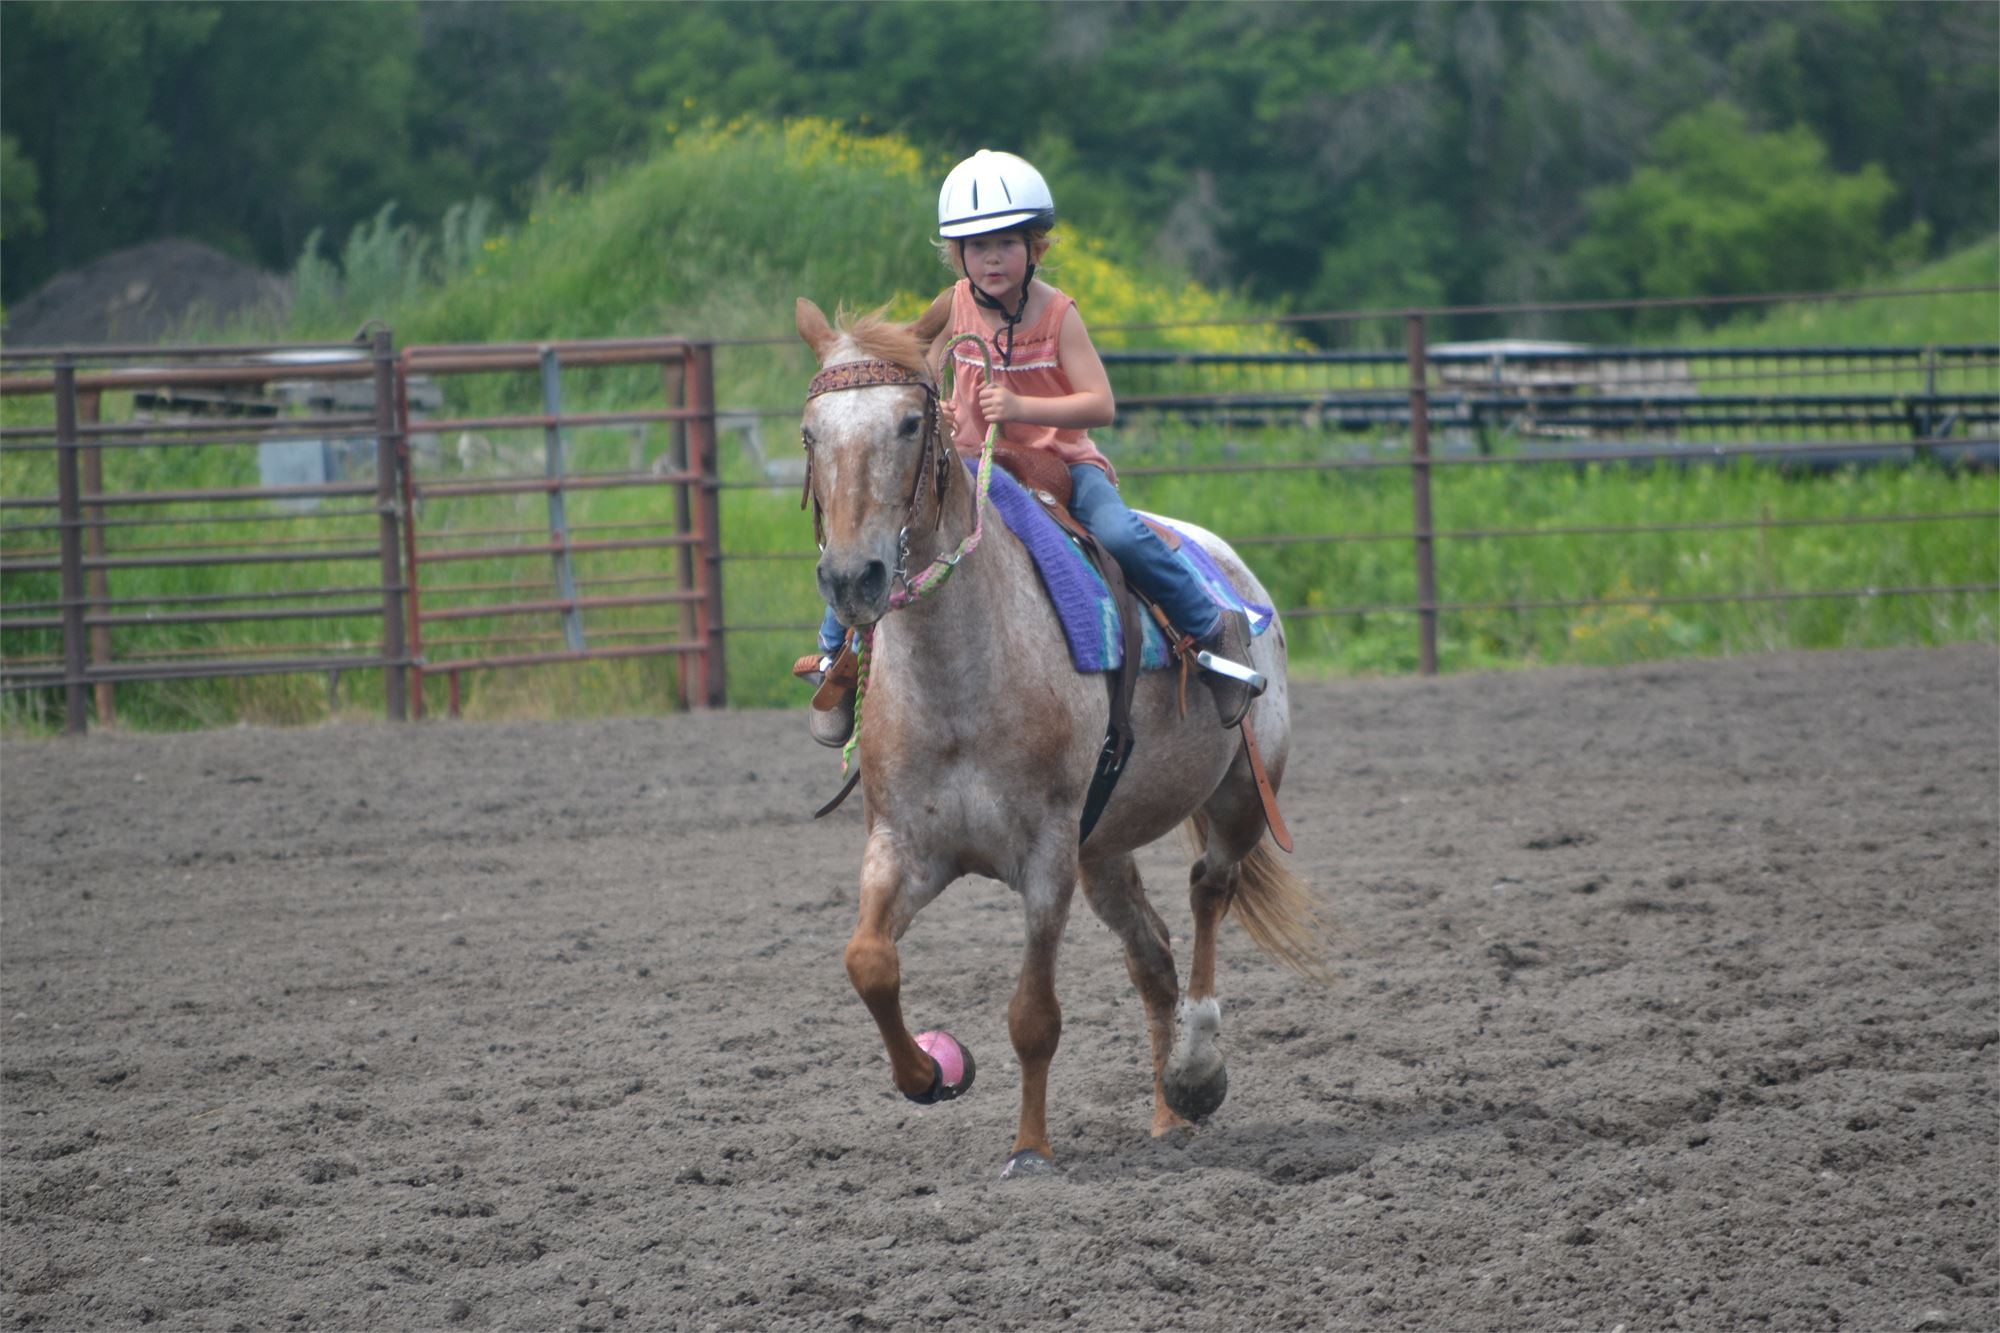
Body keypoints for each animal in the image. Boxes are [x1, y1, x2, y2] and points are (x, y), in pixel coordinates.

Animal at [796, 298, 1328, 1176]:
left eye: (910, 422)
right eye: (810, 432)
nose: (851, 578)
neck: (958, 677)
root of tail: (1234, 572)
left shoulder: (1045, 857)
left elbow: (1033, 1015)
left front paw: (1031, 1149)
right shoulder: (903, 845)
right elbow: (868, 962)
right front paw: (930, 1073)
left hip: (1243, 796)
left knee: (1208, 893)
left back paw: (1195, 1072)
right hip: (1103, 846)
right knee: (1153, 957)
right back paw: (1166, 1117)